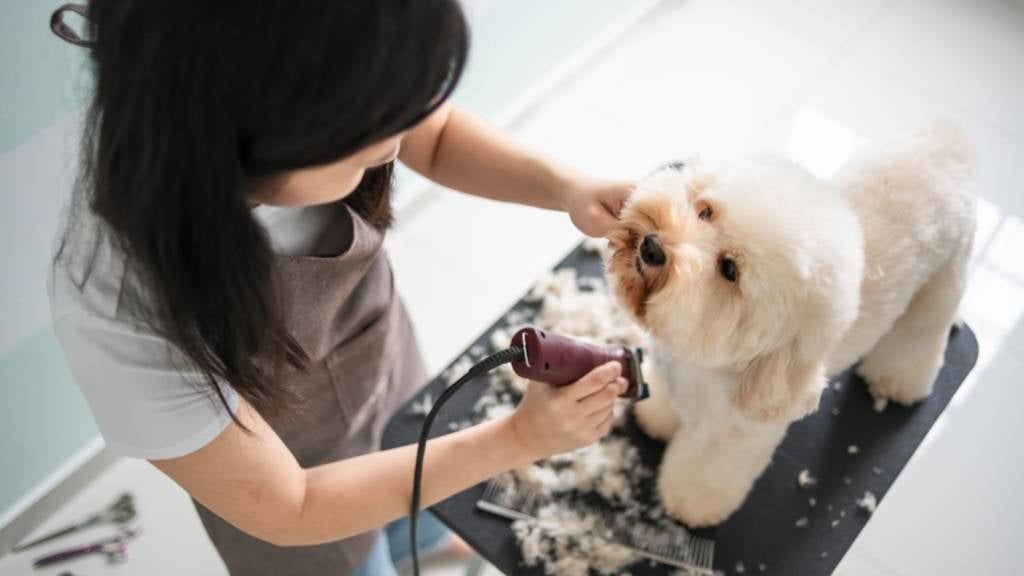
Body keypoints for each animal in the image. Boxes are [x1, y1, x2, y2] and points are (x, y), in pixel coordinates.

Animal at [606, 123, 974, 528]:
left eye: (729, 270)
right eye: (705, 211)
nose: (652, 247)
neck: (701, 366)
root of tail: (950, 141)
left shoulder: (732, 438)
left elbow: (706, 474)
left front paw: (689, 505)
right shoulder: (674, 379)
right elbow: (666, 406)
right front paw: (656, 420)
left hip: (940, 286)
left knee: (917, 340)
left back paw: (896, 383)